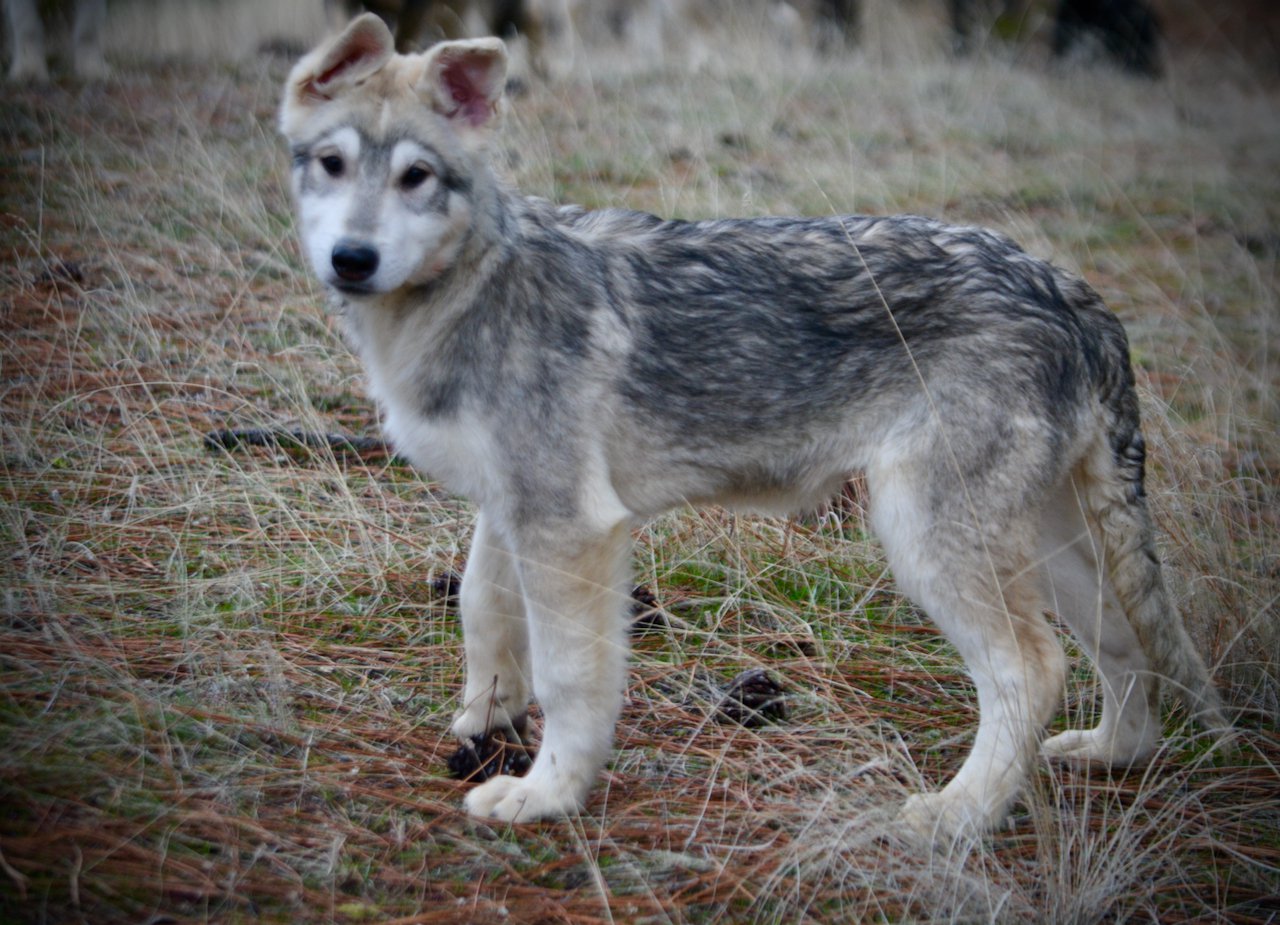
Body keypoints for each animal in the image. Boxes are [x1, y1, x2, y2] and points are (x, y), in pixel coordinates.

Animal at [282, 14, 1228, 834]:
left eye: (416, 177)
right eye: (329, 163)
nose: (353, 259)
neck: (471, 285)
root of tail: (1066, 288)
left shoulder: (571, 526)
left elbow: (572, 679)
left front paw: (545, 794)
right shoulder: (508, 506)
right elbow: (482, 611)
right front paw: (483, 722)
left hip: (929, 538)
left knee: (1032, 669)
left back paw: (956, 816)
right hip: (1052, 547)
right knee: (1121, 645)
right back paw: (1108, 753)